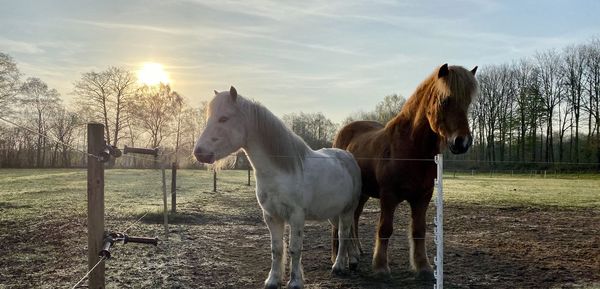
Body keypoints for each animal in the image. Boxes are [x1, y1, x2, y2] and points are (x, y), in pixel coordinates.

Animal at [195, 86, 360, 288]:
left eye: (224, 118)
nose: (199, 153)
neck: (280, 172)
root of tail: (348, 157)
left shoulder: (296, 216)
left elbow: (295, 249)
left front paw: (295, 282)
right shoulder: (271, 216)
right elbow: (277, 249)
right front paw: (273, 280)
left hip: (347, 210)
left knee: (344, 235)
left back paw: (338, 267)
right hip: (333, 213)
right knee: (345, 234)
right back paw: (348, 262)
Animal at [332, 63, 478, 280]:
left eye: (467, 102)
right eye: (445, 100)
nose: (462, 142)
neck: (410, 149)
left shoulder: (423, 196)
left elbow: (419, 230)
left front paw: (423, 267)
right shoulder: (389, 195)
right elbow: (385, 229)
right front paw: (381, 267)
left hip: (362, 194)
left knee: (354, 218)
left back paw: (356, 254)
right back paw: (339, 259)